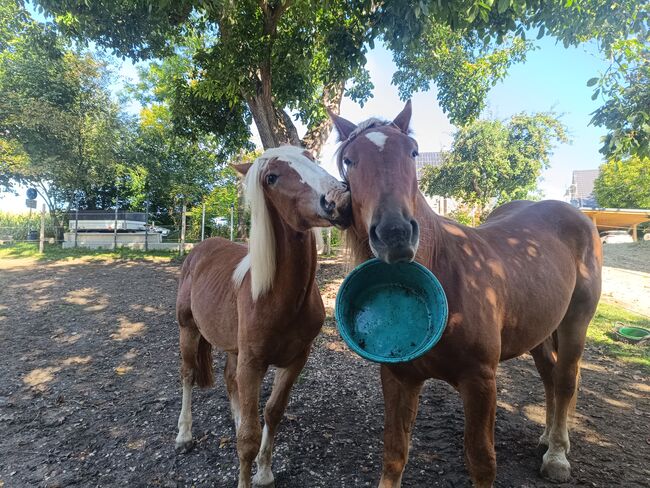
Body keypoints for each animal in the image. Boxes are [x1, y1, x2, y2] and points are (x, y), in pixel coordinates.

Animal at [173, 146, 350, 488]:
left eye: (310, 157)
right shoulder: (252, 363)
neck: (281, 299)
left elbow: (272, 412)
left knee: (230, 380)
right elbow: (248, 438)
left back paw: (235, 417)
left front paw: (264, 471)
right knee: (187, 375)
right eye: (271, 178)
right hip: (188, 330)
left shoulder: (295, 360)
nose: (339, 199)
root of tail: (199, 248)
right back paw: (184, 435)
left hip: (232, 347)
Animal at [332, 101, 600, 486]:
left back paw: (557, 455)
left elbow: (481, 460)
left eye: (412, 153)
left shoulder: (480, 381)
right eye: (350, 160)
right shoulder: (399, 379)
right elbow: (395, 454)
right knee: (550, 377)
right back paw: (547, 439)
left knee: (565, 380)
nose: (395, 234)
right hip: (539, 329)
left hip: (576, 321)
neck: (446, 271)